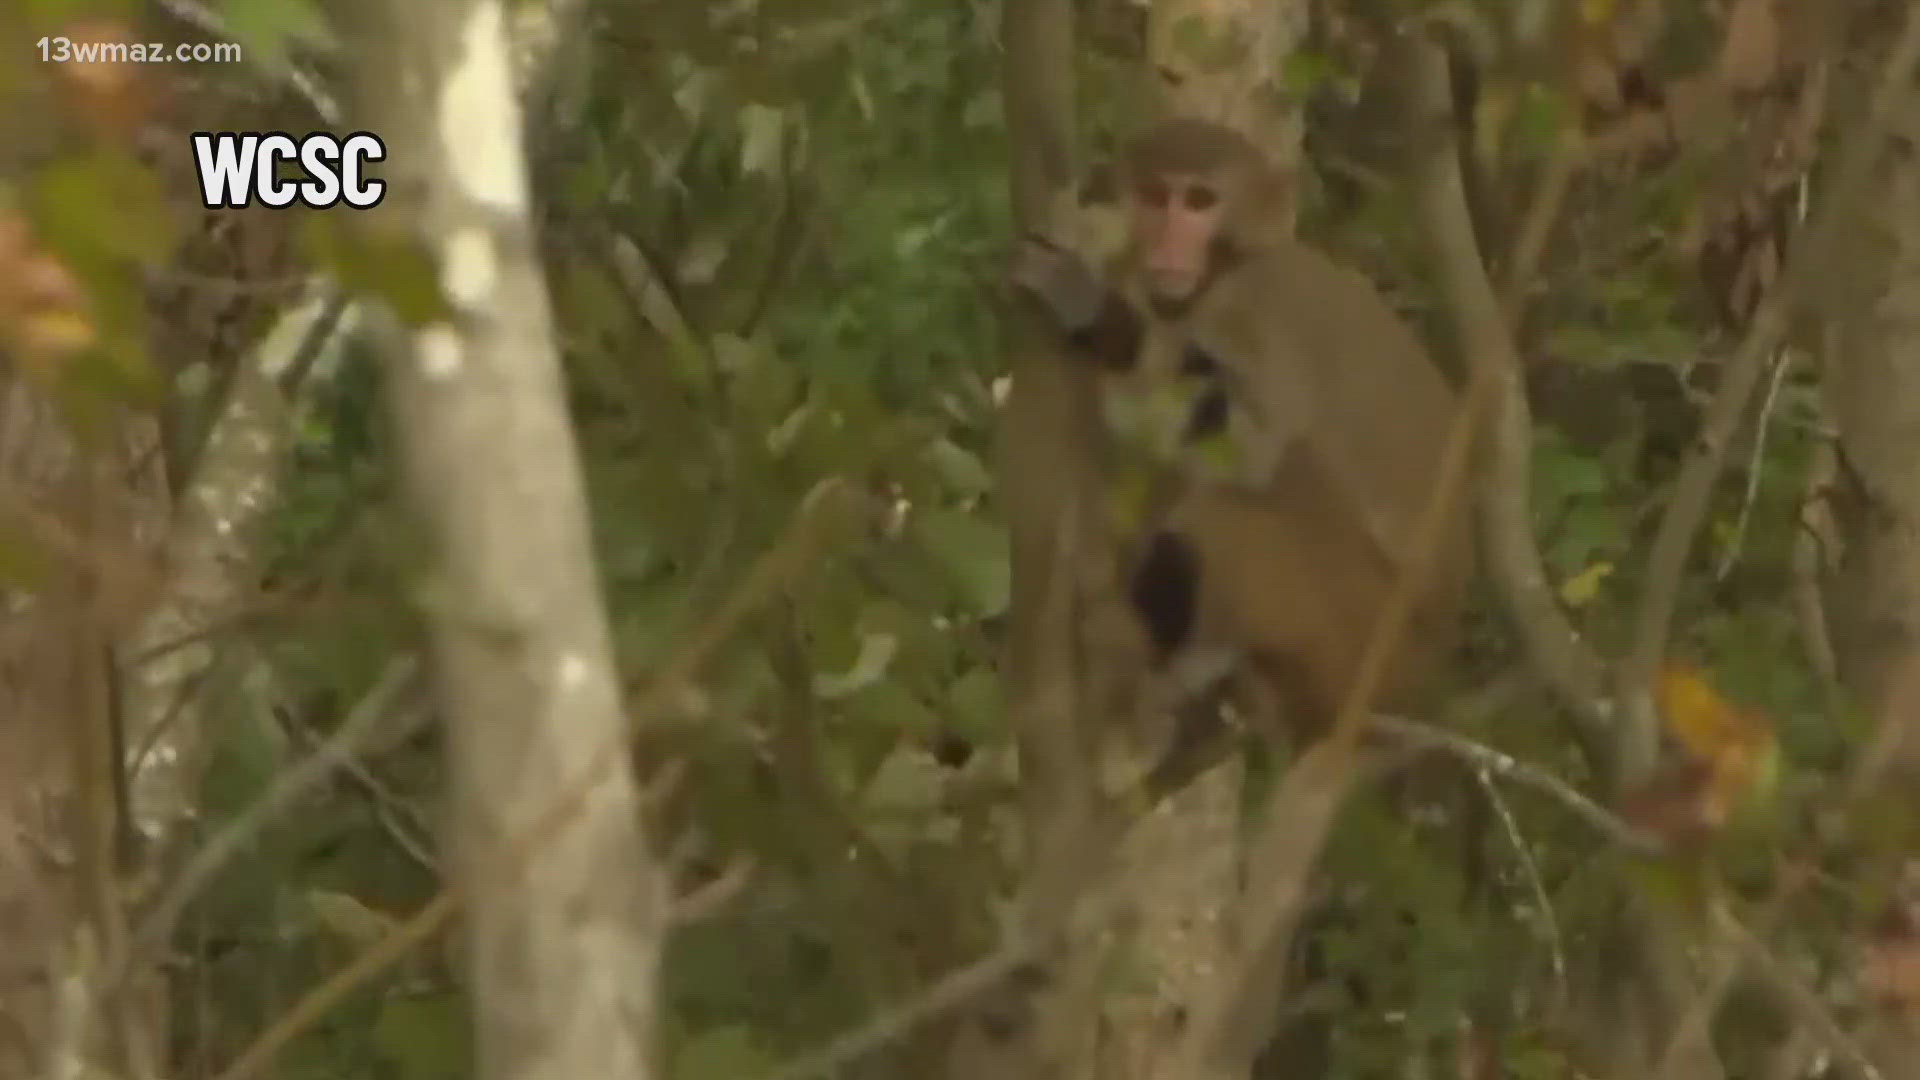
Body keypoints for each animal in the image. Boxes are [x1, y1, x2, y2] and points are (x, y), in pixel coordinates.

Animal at [1006, 115, 1466, 757]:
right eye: (1156, 196)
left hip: (1363, 637)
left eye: (1200, 201)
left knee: (1257, 485)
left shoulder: (1253, 310)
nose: (1167, 244)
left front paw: (1096, 314)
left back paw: (1206, 657)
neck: (1229, 264)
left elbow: (1252, 455)